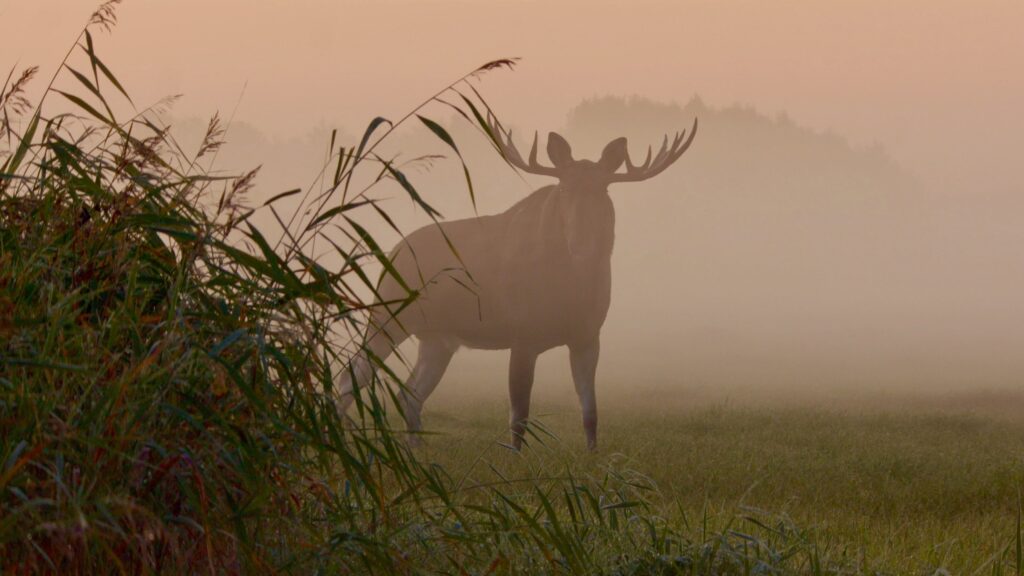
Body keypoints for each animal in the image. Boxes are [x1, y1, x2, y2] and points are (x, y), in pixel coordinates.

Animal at [337, 113, 697, 450]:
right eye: (564, 189)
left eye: (603, 189)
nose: (582, 244)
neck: (571, 289)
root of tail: (392, 251)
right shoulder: (522, 332)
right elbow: (519, 414)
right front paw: (515, 460)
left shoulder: (588, 335)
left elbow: (591, 411)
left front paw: (595, 457)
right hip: (387, 314)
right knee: (350, 375)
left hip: (438, 338)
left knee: (409, 391)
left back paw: (415, 448)